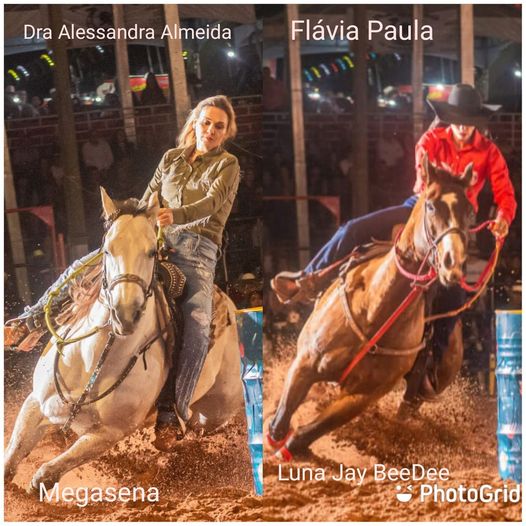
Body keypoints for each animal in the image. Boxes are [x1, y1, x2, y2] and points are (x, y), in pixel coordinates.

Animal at [5, 191, 244, 496]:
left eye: (152, 252)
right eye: (107, 250)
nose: (125, 313)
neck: (94, 360)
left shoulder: (109, 434)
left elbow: (44, 474)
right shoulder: (36, 404)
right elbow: (11, 459)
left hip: (217, 410)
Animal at [270, 155, 480, 460]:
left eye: (470, 211)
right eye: (431, 205)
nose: (453, 262)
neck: (374, 310)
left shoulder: (362, 397)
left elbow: (304, 434)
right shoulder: (305, 362)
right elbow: (280, 421)